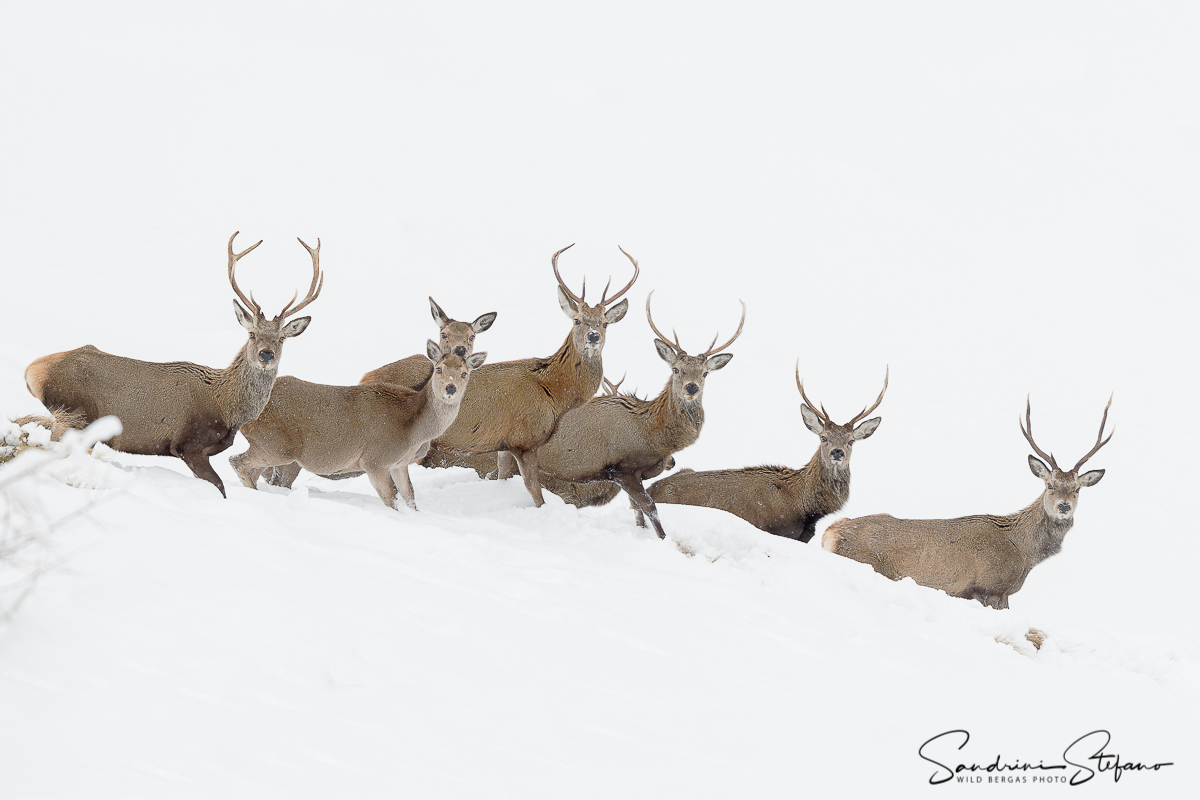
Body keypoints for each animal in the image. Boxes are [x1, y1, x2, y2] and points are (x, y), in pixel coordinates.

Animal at [23, 232, 322, 497]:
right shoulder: (188, 445)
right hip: (74, 413)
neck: (227, 407)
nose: (265, 355)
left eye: (281, 338)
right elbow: (220, 489)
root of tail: (31, 371)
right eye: (252, 334)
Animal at [230, 341, 488, 511]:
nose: (450, 388)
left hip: (272, 448)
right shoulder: (374, 460)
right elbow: (392, 500)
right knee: (237, 462)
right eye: (439, 369)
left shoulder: (399, 463)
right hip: (277, 445)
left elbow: (410, 497)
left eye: (465, 373)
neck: (414, 433)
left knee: (251, 470)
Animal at [416, 244, 639, 506]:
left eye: (604, 323)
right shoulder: (525, 439)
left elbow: (502, 478)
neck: (554, 392)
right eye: (577, 320)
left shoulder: (504, 442)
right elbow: (536, 492)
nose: (593, 336)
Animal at [535, 292, 744, 538]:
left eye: (704, 374)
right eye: (676, 369)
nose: (691, 387)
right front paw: (663, 540)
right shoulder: (621, 469)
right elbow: (649, 507)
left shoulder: (635, 475)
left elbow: (637, 512)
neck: (649, 432)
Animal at [822, 396, 1113, 609]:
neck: (1023, 553)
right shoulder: (989, 587)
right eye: (1049, 485)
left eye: (1077, 489)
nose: (1064, 506)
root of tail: (830, 534)